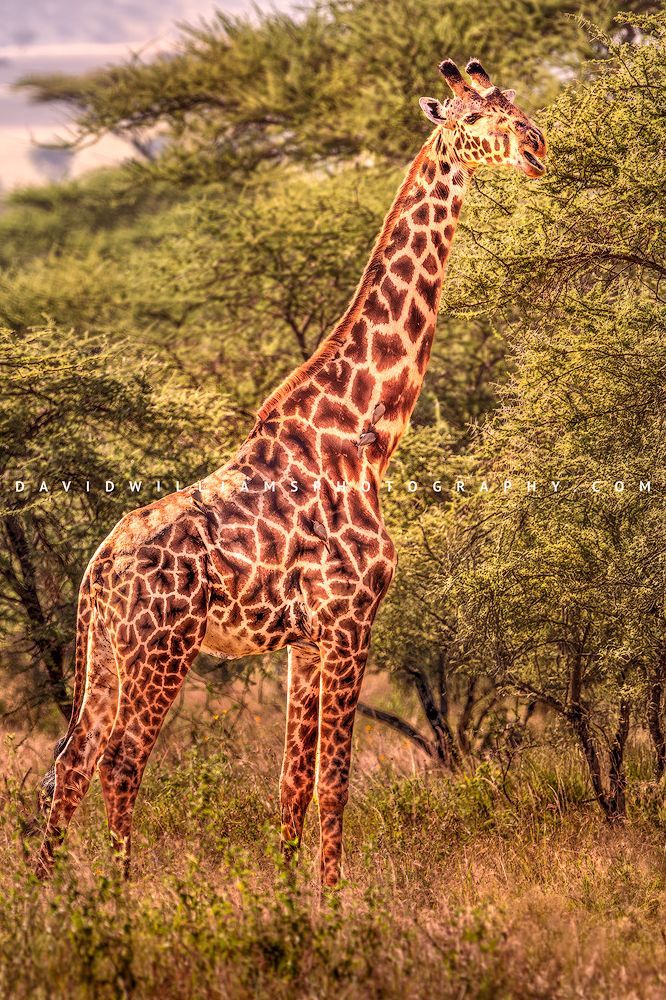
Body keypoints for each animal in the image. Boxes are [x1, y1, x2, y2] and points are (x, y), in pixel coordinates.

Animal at [35, 59, 546, 887]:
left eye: (517, 107)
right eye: (475, 119)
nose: (537, 145)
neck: (365, 435)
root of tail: (97, 570)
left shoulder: (305, 641)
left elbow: (293, 783)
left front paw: (287, 893)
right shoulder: (351, 621)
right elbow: (336, 780)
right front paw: (333, 899)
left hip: (108, 650)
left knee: (69, 762)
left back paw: (52, 894)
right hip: (162, 647)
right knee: (120, 762)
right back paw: (115, 893)